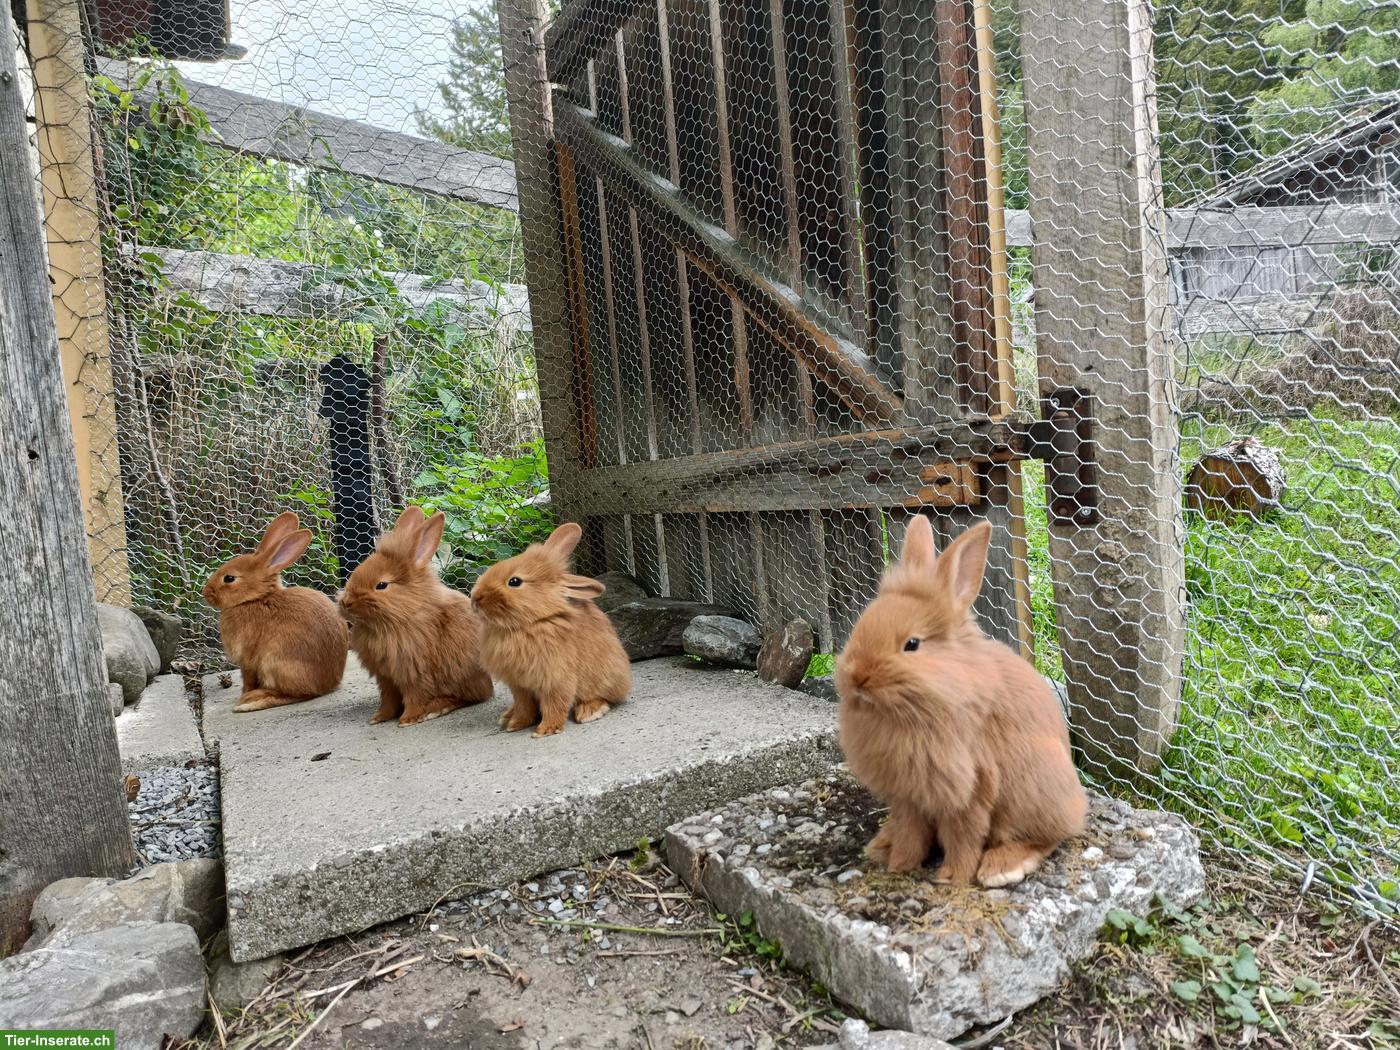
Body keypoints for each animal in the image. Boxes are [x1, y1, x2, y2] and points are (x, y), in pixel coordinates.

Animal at [203, 511, 348, 713]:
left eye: (229, 578)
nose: (206, 593)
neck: (254, 599)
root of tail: (328, 684)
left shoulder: (247, 659)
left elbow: (247, 679)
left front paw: (243, 695)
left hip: (275, 662)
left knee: (298, 694)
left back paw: (250, 702)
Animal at [339, 506, 494, 726]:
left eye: (381, 585)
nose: (346, 603)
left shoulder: (414, 672)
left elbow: (416, 695)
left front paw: (408, 720)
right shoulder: (386, 679)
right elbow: (388, 700)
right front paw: (378, 718)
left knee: (469, 696)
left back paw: (437, 708)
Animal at [470, 522, 631, 738]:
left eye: (514, 582)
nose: (475, 597)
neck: (530, 623)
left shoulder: (556, 679)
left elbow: (555, 704)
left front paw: (545, 730)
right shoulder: (520, 686)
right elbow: (524, 707)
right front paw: (516, 725)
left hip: (601, 678)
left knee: (602, 697)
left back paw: (589, 712)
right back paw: (506, 716)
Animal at [835, 516, 1087, 888]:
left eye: (912, 644)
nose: (856, 677)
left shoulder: (969, 789)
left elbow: (963, 835)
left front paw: (952, 877)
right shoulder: (908, 796)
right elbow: (910, 832)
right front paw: (900, 866)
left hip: (1032, 790)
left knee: (1045, 837)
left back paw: (1001, 868)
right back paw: (881, 845)